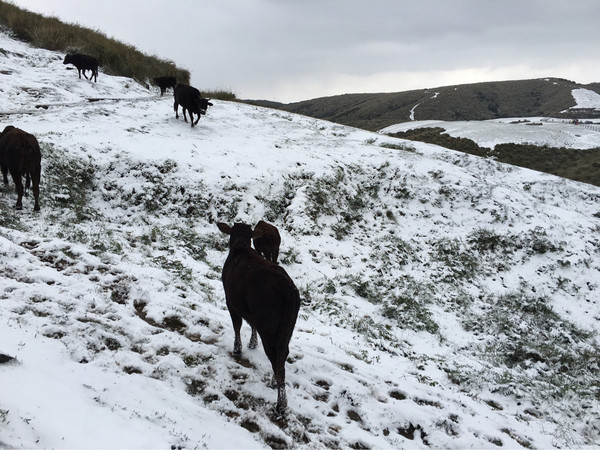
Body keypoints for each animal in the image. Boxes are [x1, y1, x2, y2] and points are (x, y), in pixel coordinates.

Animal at [216, 223, 300, 416]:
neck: (241, 246)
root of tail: (288, 290)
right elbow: (250, 324)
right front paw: (252, 343)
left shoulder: (230, 300)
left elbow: (237, 325)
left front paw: (237, 349)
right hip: (287, 327)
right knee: (282, 354)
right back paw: (275, 383)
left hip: (268, 326)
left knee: (276, 356)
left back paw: (281, 404)